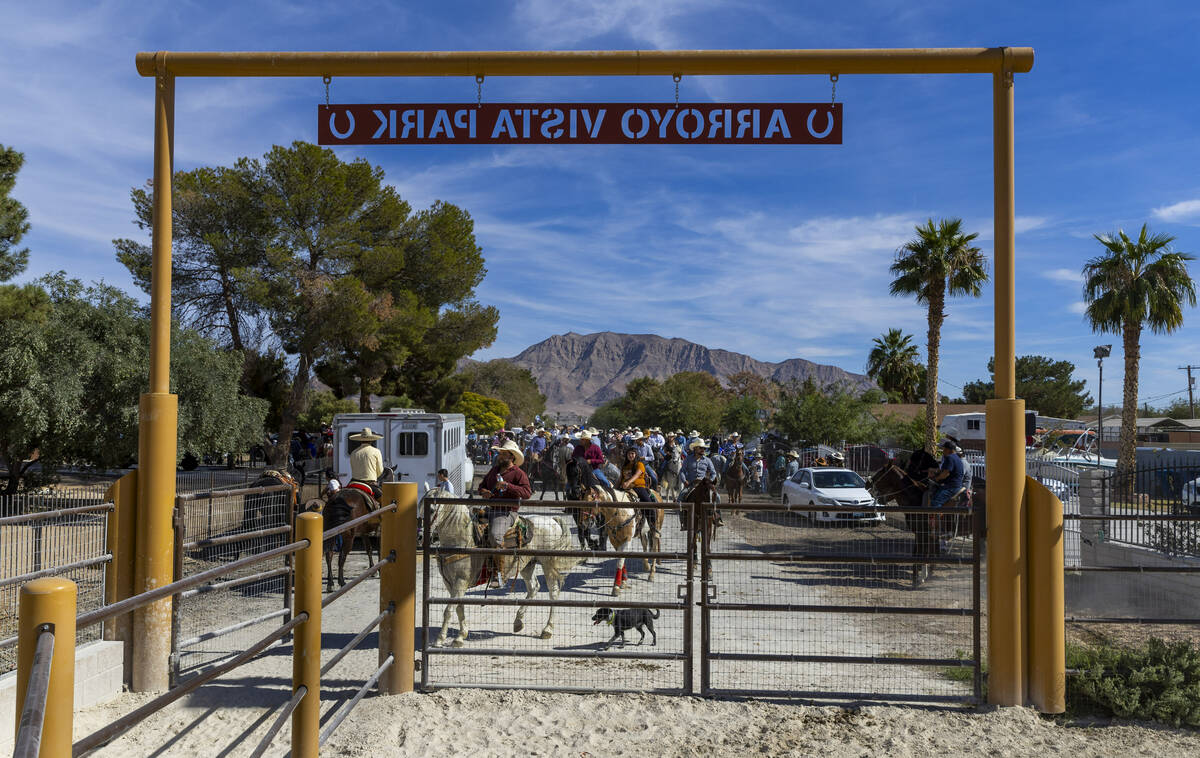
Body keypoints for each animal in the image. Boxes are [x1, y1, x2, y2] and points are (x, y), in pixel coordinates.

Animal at [429, 494, 583, 647]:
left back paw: (547, 630)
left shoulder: (461, 581)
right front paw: (461, 636)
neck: (462, 540)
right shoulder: (450, 583)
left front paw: (440, 639)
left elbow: (448, 610)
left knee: (553, 592)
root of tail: (552, 520)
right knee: (533, 588)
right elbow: (458, 607)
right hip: (527, 565)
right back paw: (518, 622)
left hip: (547, 564)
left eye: (431, 509)